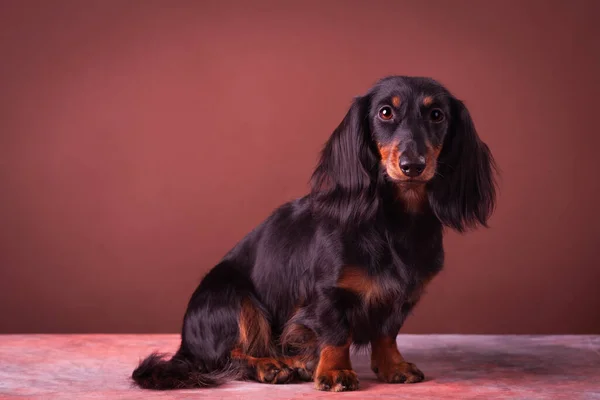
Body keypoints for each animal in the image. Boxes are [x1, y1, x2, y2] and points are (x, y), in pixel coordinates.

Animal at [131, 75, 496, 390]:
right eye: (385, 112)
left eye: (436, 115)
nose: (412, 165)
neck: (394, 223)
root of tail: (185, 344)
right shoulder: (327, 293)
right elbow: (337, 334)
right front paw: (334, 371)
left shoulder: (401, 297)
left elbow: (387, 333)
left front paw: (393, 366)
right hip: (231, 297)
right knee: (226, 357)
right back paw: (270, 365)